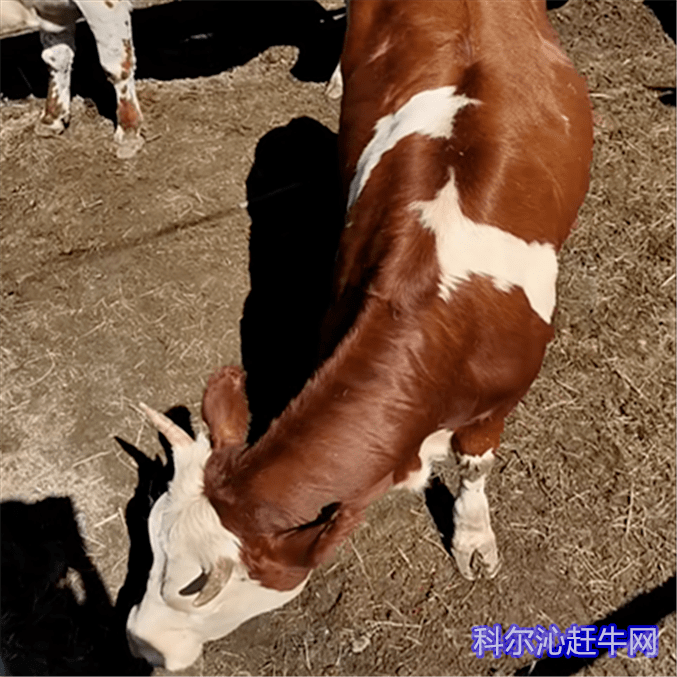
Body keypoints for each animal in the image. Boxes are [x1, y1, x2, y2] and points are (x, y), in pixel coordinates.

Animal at [2, 0, 143, 157]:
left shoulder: (105, 5)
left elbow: (116, 66)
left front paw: (128, 130)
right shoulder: (52, 13)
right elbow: (56, 58)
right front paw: (51, 118)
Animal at [125, 0, 592, 664]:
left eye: (197, 589)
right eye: (149, 539)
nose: (140, 645)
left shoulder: (502, 397)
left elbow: (475, 468)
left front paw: (473, 540)